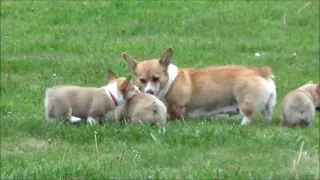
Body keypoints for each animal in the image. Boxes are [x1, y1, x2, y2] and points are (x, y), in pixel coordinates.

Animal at [122, 48, 278, 126]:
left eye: (156, 78)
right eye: (142, 80)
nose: (149, 91)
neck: (169, 82)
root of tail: (260, 71)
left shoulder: (177, 107)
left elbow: (175, 115)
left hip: (245, 102)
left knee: (248, 116)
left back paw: (241, 125)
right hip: (268, 105)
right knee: (267, 114)